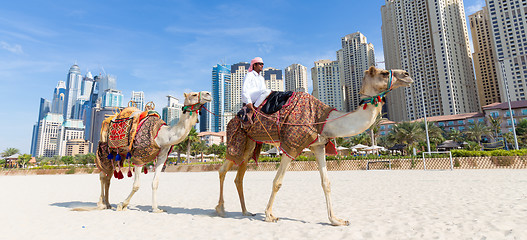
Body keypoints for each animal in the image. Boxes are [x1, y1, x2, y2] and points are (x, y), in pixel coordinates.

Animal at [217, 67, 414, 225]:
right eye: (383, 73)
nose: (407, 74)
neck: (323, 119)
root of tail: (233, 117)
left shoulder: (319, 146)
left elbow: (326, 182)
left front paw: (336, 220)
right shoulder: (291, 146)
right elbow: (277, 182)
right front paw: (269, 215)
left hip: (250, 144)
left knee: (239, 176)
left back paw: (245, 211)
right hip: (237, 138)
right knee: (223, 169)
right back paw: (220, 209)